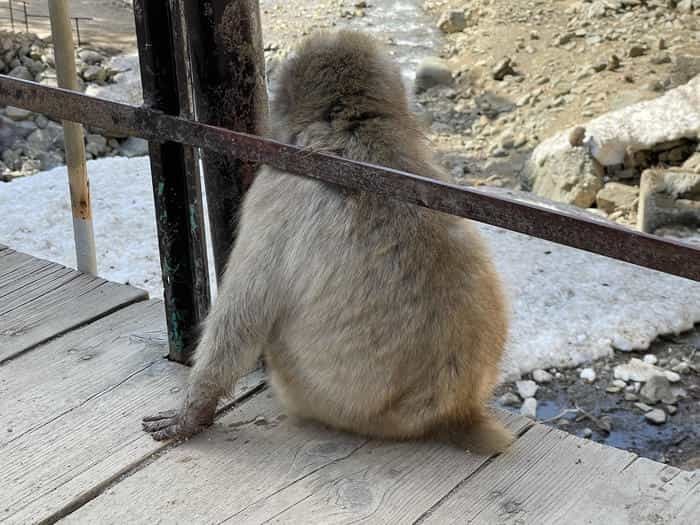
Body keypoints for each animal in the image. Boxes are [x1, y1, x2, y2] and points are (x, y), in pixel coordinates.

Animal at [142, 29, 516, 454]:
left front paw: (193, 412)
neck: (353, 133)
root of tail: (458, 411)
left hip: (317, 396)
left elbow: (240, 316)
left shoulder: (274, 190)